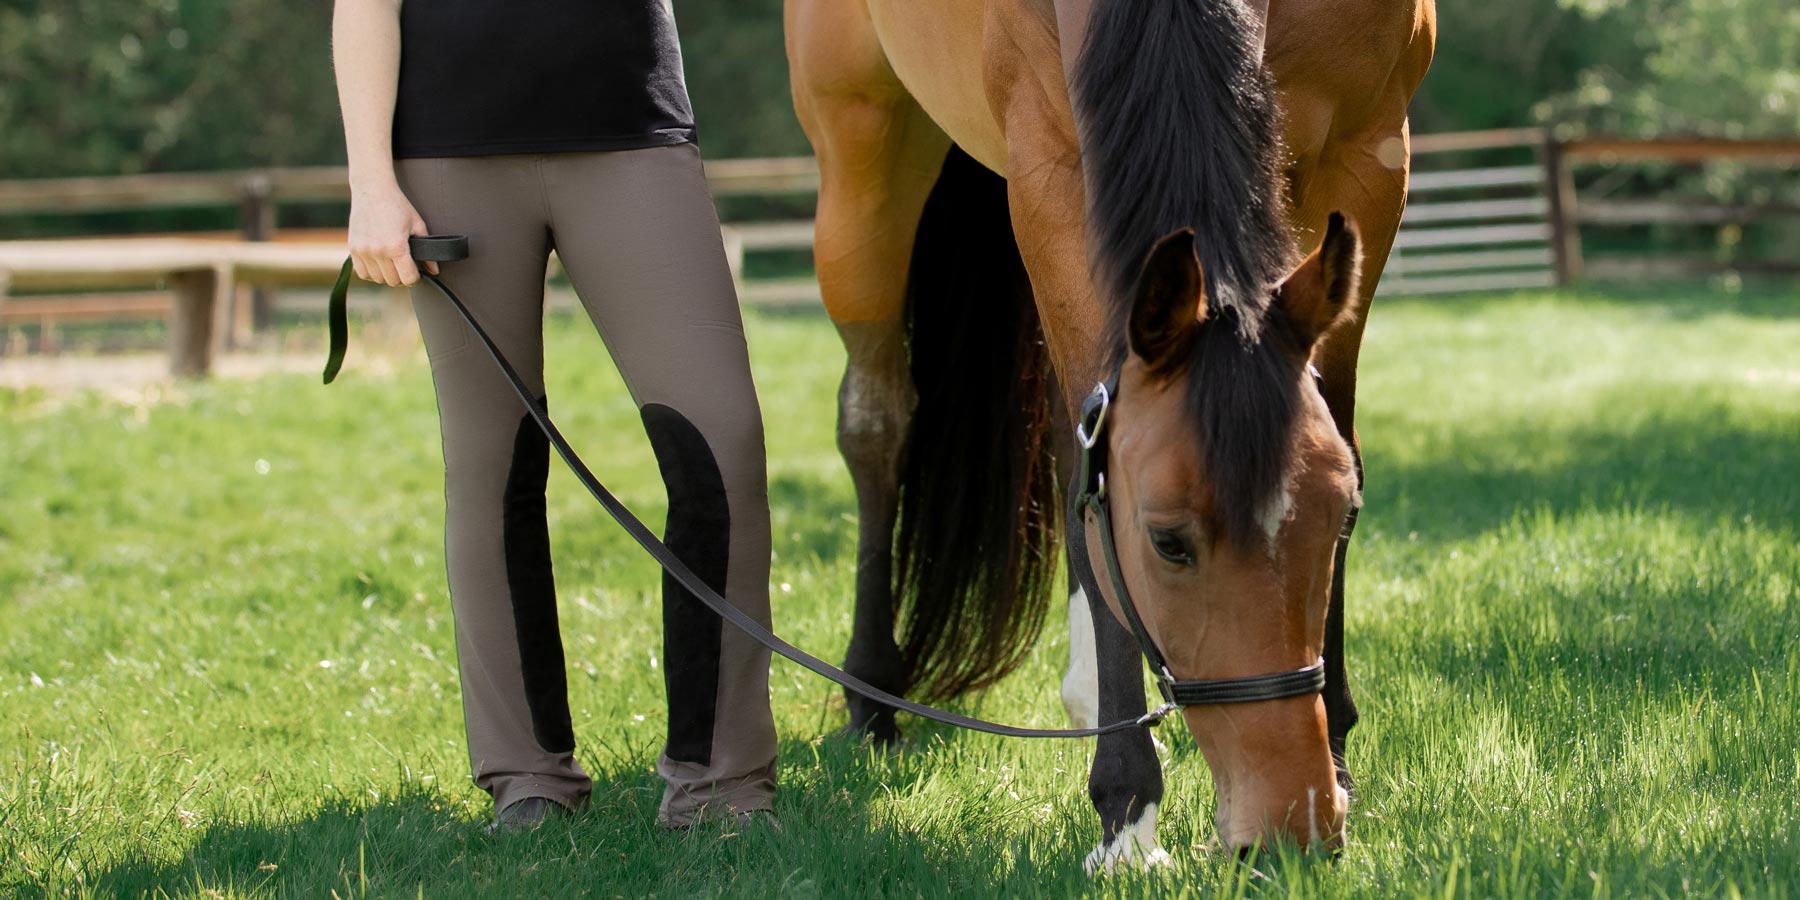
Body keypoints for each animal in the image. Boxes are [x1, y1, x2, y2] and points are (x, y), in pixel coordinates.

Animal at [788, 0, 1432, 864]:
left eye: (1343, 518)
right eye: (1167, 542)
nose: (1290, 830)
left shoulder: (1370, 156)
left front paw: (1339, 759)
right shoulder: (1046, 173)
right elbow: (1086, 487)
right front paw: (1128, 813)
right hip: (860, 150)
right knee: (878, 424)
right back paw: (876, 693)